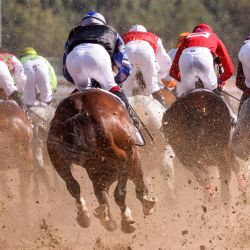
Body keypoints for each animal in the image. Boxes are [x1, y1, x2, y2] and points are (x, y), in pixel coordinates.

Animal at [46, 89, 155, 233]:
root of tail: (81, 111)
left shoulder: (99, 172)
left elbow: (101, 193)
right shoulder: (131, 155)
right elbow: (131, 186)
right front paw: (140, 208)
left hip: (56, 155)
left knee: (73, 186)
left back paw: (86, 216)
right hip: (124, 154)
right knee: (120, 190)